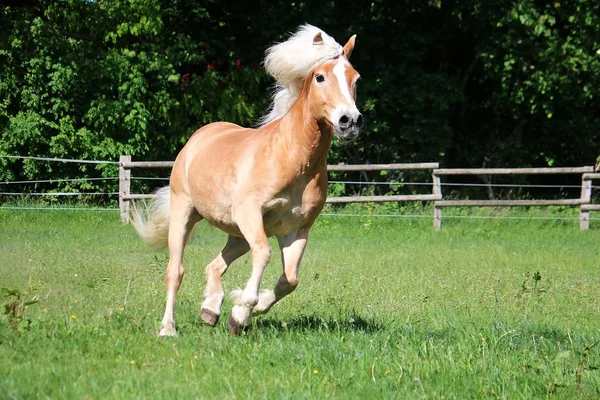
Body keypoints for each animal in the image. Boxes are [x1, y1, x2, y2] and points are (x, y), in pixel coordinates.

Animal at [132, 25, 360, 336]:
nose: (350, 121)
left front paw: (242, 310)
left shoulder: (296, 229)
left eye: (355, 78)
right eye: (320, 77)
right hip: (185, 213)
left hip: (237, 233)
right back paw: (168, 328)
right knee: (175, 271)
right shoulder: (250, 212)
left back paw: (211, 310)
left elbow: (290, 279)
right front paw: (242, 311)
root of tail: (199, 137)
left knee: (214, 266)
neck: (294, 160)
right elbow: (263, 254)